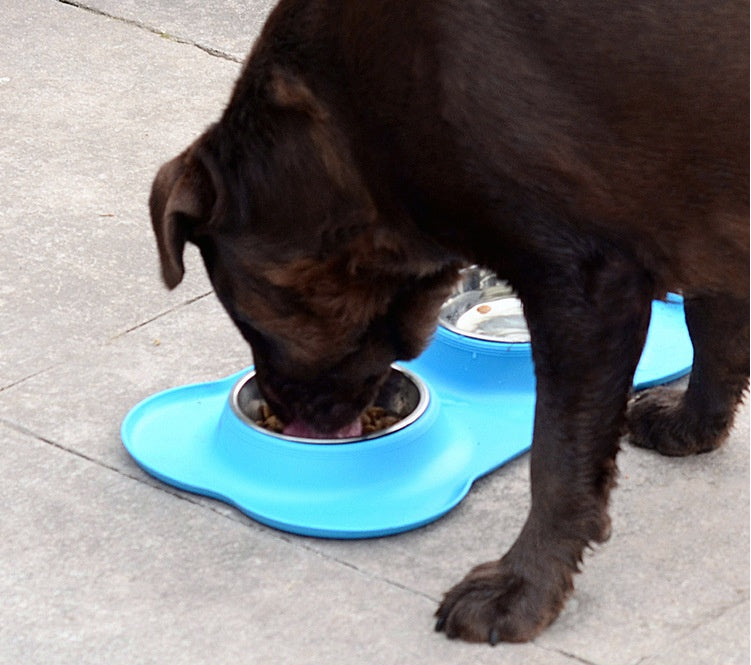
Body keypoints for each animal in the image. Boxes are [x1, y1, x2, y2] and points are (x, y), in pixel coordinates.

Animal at [147, 0, 748, 644]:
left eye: (250, 317)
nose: (287, 416)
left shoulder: (585, 284)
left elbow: (557, 463)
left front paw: (522, 589)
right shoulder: (706, 212)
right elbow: (716, 327)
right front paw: (694, 424)